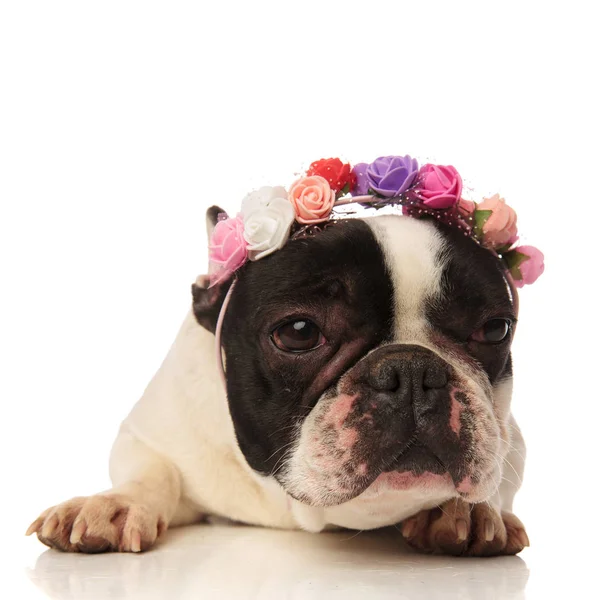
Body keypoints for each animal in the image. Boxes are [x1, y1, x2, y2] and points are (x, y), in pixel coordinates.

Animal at [25, 207, 528, 556]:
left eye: (495, 329)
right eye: (299, 331)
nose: (412, 370)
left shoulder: (510, 441)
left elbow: (502, 476)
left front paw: (470, 511)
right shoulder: (153, 431)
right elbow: (151, 472)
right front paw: (113, 505)